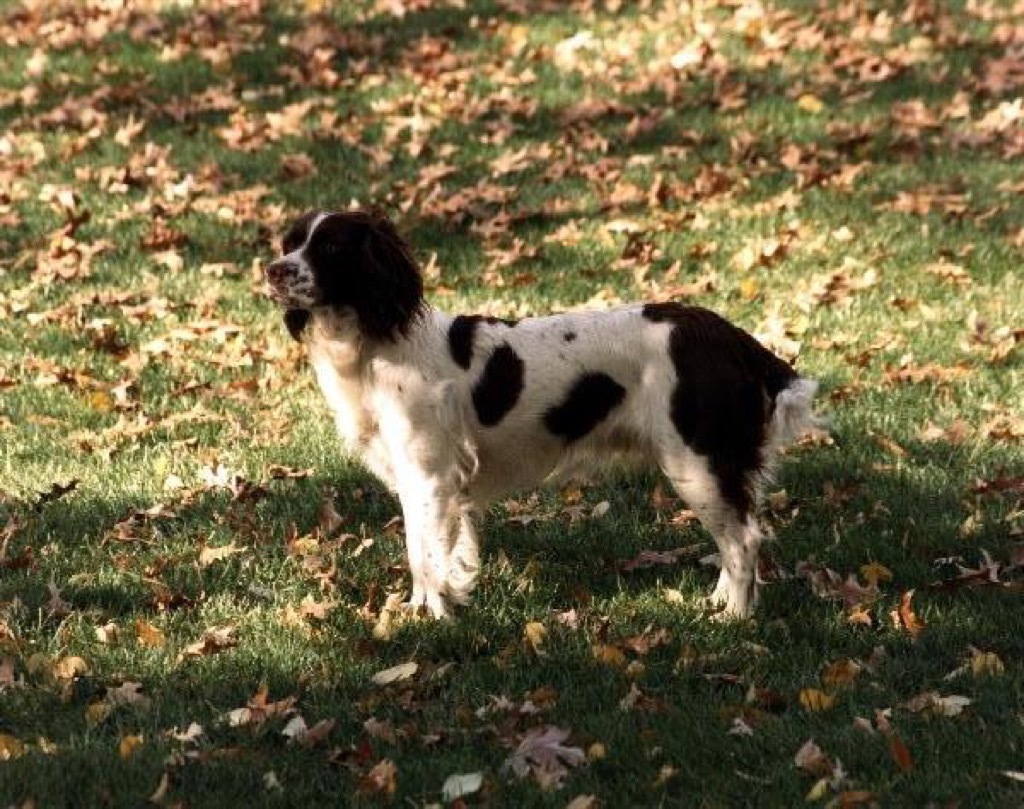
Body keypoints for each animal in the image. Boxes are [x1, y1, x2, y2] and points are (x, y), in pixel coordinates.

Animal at [266, 210, 823, 622]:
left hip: (697, 460)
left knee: (743, 539)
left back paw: (735, 618)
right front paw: (436, 603)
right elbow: (433, 550)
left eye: (330, 248)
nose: (272, 269)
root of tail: (733, 338)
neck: (377, 345)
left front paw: (430, 617)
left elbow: (423, 553)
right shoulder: (426, 480)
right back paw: (718, 603)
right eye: (291, 241)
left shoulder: (428, 475)